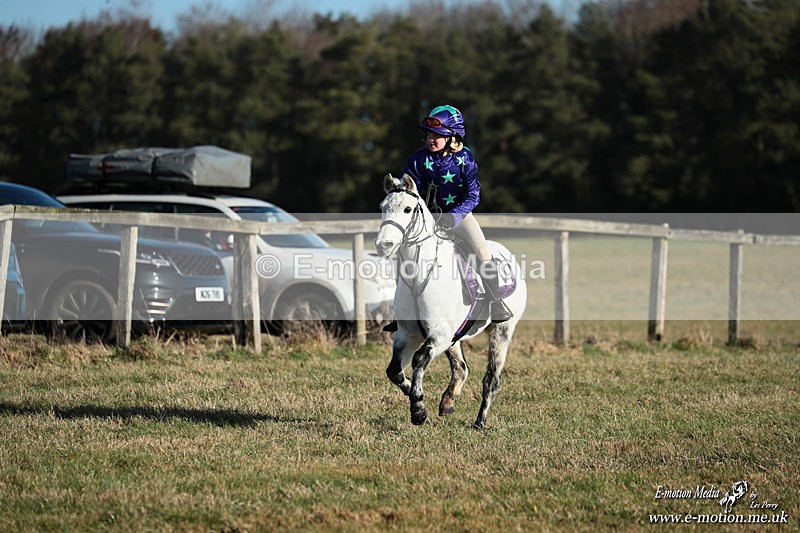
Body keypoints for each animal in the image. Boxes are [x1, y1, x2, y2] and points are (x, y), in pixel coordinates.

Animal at [375, 173, 527, 429]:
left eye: (407, 209)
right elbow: (394, 371)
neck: (419, 279)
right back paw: (447, 402)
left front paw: (418, 410)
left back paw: (479, 422)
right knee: (461, 368)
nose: (383, 245)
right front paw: (413, 395)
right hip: (456, 336)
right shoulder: (408, 334)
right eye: (382, 207)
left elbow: (419, 359)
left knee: (491, 379)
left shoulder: (439, 335)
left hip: (501, 331)